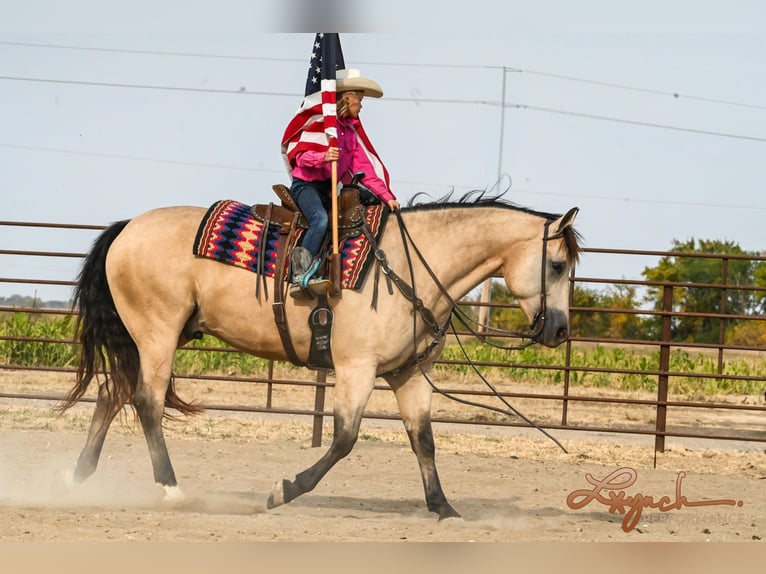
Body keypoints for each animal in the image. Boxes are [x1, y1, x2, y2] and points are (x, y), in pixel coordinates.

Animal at [58, 194, 584, 520]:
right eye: (557, 265)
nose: (560, 330)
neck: (408, 267)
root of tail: (127, 228)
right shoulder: (357, 369)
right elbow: (344, 440)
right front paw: (283, 491)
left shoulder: (410, 375)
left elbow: (424, 442)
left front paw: (443, 508)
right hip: (158, 335)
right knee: (146, 402)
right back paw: (171, 490)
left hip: (154, 338)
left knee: (112, 394)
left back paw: (76, 478)